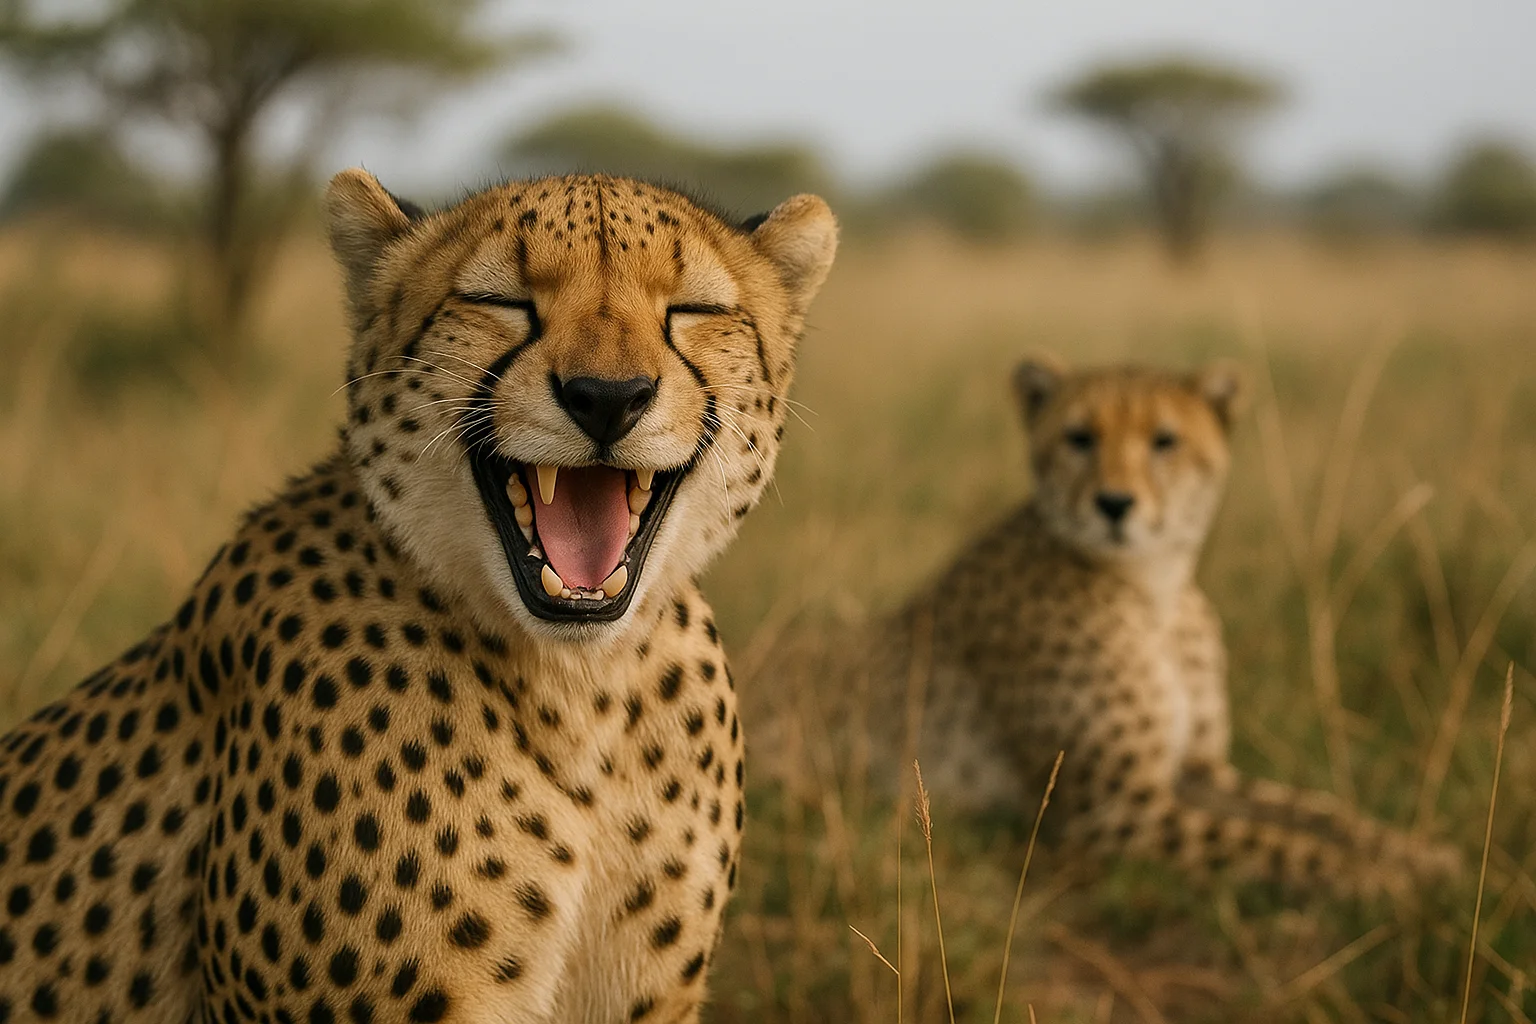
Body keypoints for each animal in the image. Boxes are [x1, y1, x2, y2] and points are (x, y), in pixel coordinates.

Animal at [818, 356, 1459, 902]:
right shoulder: (1116, 809)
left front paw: (1417, 855)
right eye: (1079, 438)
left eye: (1164, 441)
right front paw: (1381, 880)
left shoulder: (1193, 769)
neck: (1154, 589)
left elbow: (1313, 810)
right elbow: (1275, 843)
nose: (1114, 504)